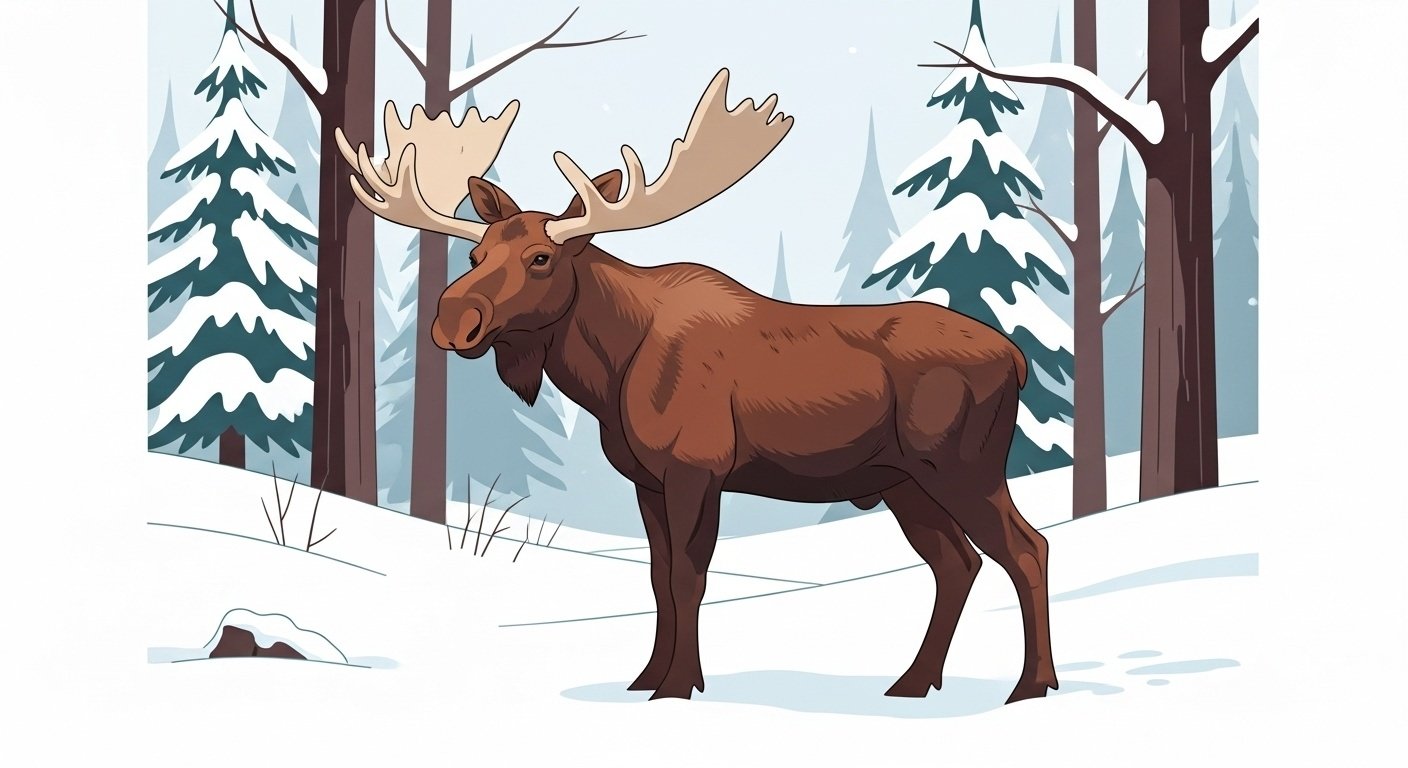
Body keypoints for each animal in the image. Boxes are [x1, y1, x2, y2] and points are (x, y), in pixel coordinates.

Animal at [335, 69, 1058, 704]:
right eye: (476, 254)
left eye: (541, 257)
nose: (453, 319)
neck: (610, 373)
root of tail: (1017, 358)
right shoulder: (647, 479)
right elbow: (658, 578)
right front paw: (646, 677)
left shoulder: (697, 467)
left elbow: (688, 577)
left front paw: (680, 685)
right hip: (903, 482)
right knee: (957, 564)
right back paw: (913, 682)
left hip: (962, 466)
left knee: (1027, 549)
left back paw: (1030, 685)